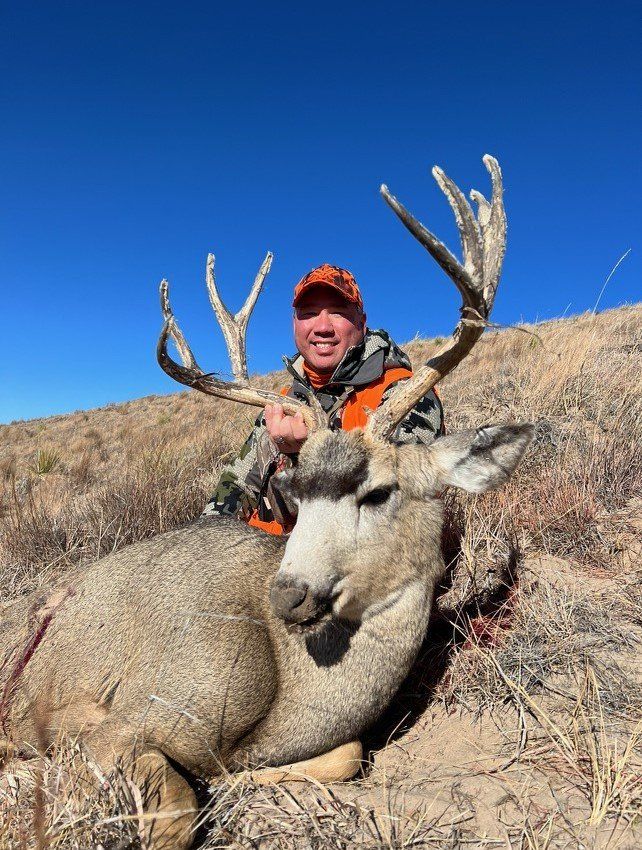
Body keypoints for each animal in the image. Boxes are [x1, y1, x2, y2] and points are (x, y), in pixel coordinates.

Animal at [0, 155, 533, 849]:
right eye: (296, 494)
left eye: (378, 491)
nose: (289, 593)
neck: (285, 686)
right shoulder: (97, 713)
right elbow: (178, 809)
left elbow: (345, 756)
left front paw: (247, 777)